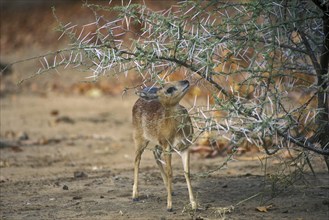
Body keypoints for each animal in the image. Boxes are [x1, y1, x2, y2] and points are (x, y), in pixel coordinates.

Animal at [131, 80, 196, 211]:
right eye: (169, 89)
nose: (186, 81)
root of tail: (138, 100)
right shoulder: (167, 147)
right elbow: (170, 172)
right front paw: (169, 205)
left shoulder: (185, 147)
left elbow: (187, 173)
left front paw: (194, 204)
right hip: (140, 139)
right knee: (137, 159)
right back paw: (135, 195)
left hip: (158, 144)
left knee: (155, 154)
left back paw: (170, 190)